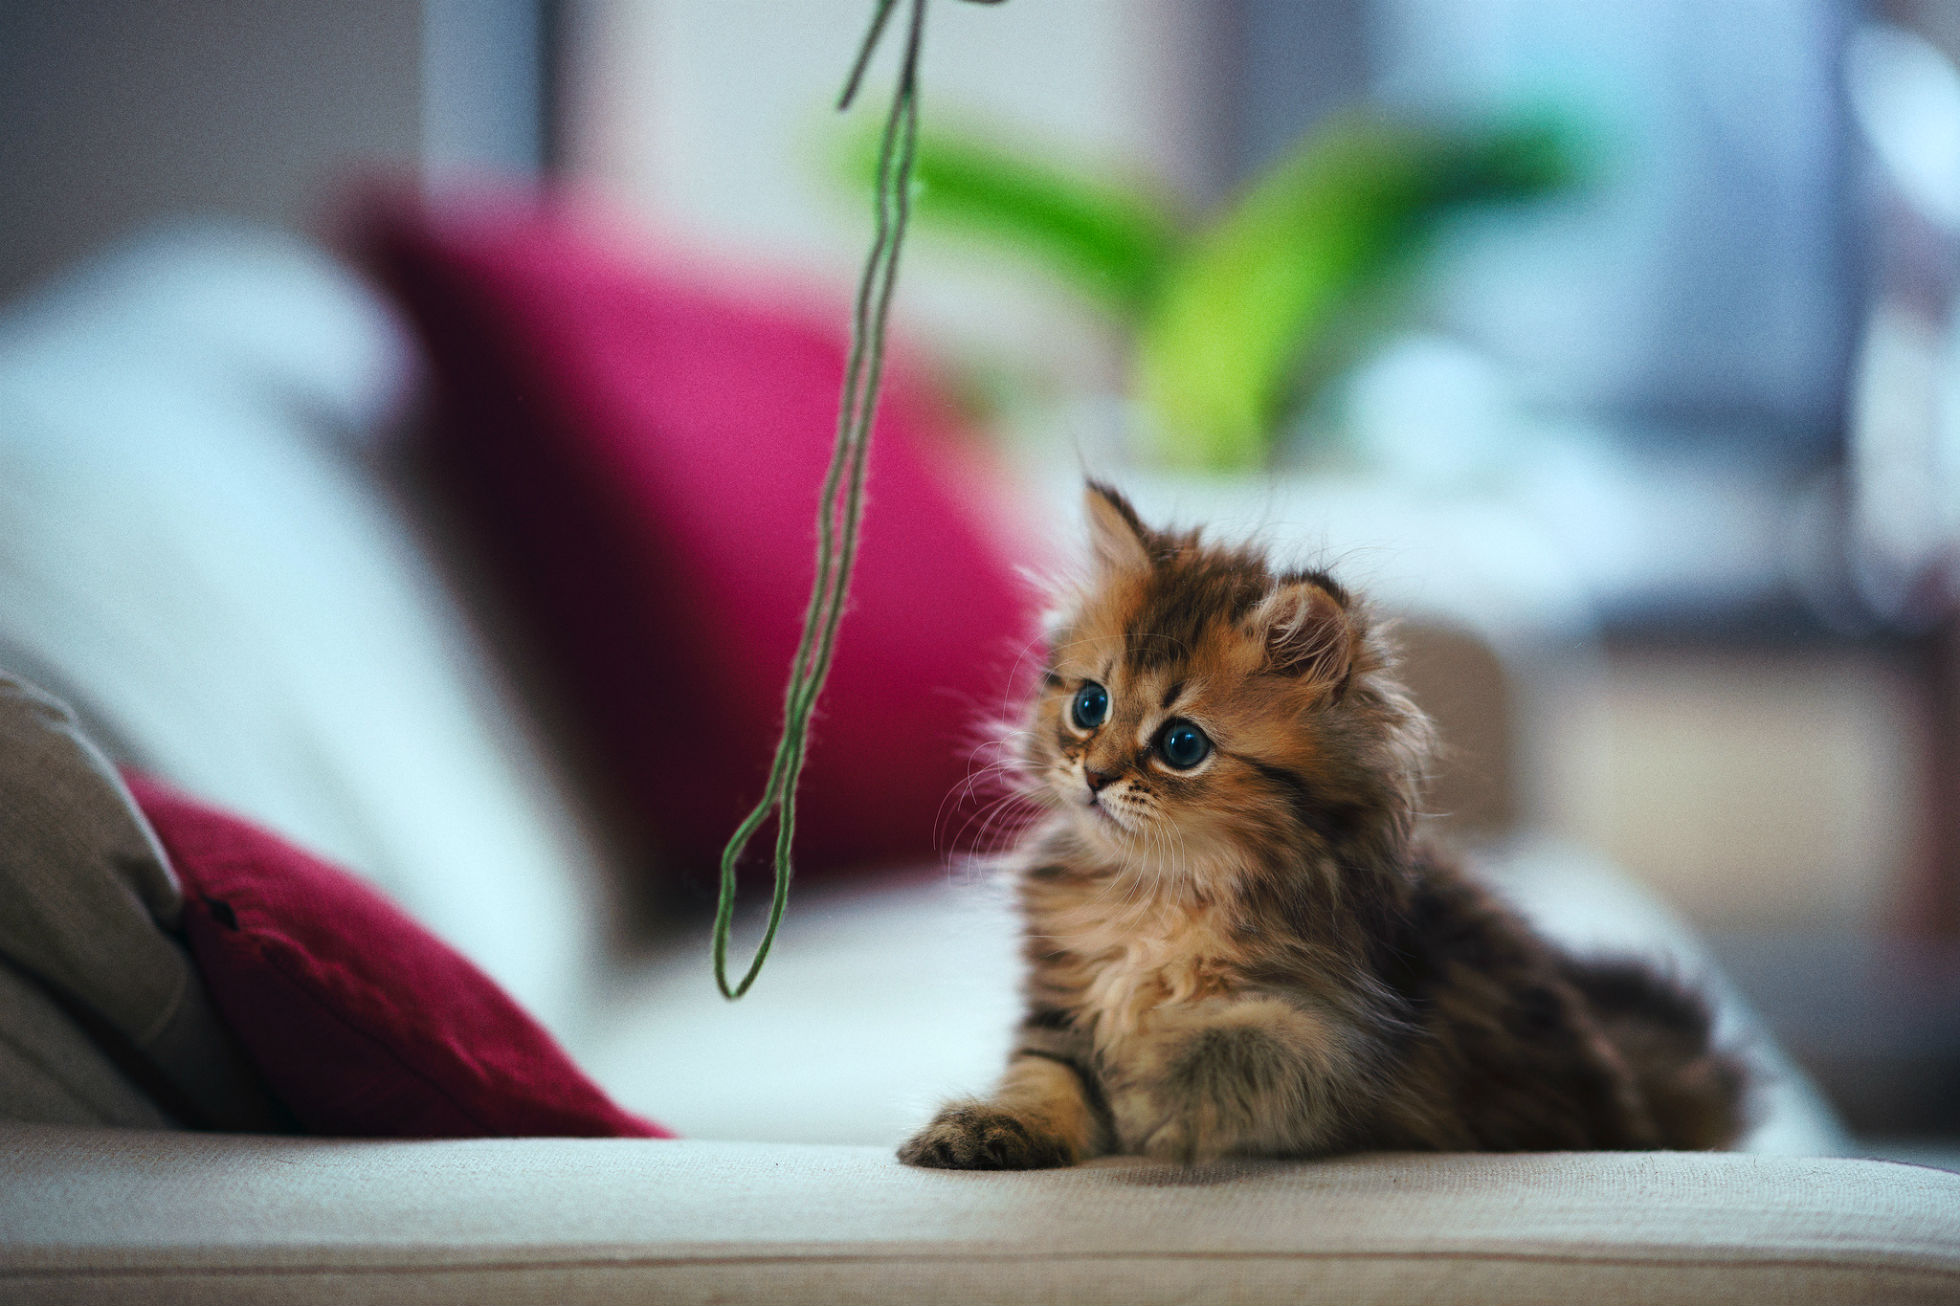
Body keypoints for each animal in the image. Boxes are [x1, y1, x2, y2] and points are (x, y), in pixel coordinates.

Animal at [901, 480, 1748, 1168]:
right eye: (1089, 705)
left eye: (1181, 746)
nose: (1096, 775)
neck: (1159, 894)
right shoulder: (1062, 1011)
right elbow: (1045, 1077)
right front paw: (992, 1126)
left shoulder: (1348, 1037)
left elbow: (1250, 1044)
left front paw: (1163, 1081)